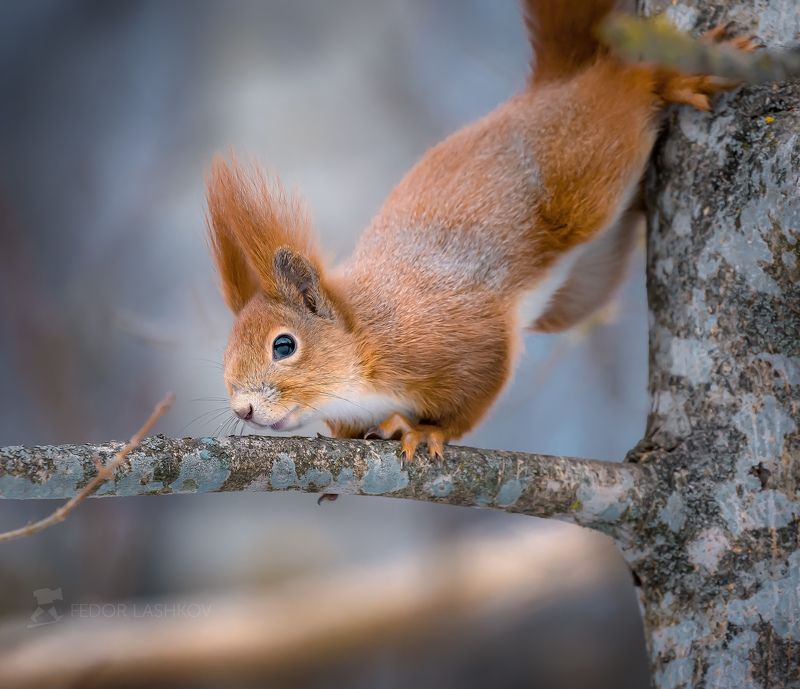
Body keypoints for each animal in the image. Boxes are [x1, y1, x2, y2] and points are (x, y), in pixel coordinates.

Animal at [203, 2, 752, 462]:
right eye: (225, 351)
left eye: (284, 346)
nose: (243, 409)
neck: (365, 342)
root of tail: (544, 88)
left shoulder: (459, 340)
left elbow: (475, 390)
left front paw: (427, 431)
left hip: (587, 166)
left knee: (621, 92)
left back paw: (668, 78)